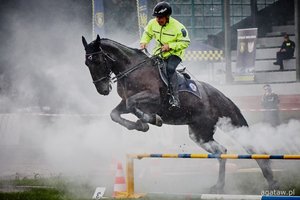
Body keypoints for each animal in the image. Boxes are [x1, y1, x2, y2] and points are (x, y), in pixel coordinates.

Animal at [82, 35, 278, 193]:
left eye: (97, 61)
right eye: (87, 63)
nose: (102, 89)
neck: (133, 69)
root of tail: (222, 96)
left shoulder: (152, 97)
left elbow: (133, 106)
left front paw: (150, 120)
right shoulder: (124, 103)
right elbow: (115, 114)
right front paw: (140, 124)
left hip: (226, 125)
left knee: (249, 147)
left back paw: (270, 180)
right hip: (199, 134)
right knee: (221, 151)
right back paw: (219, 186)